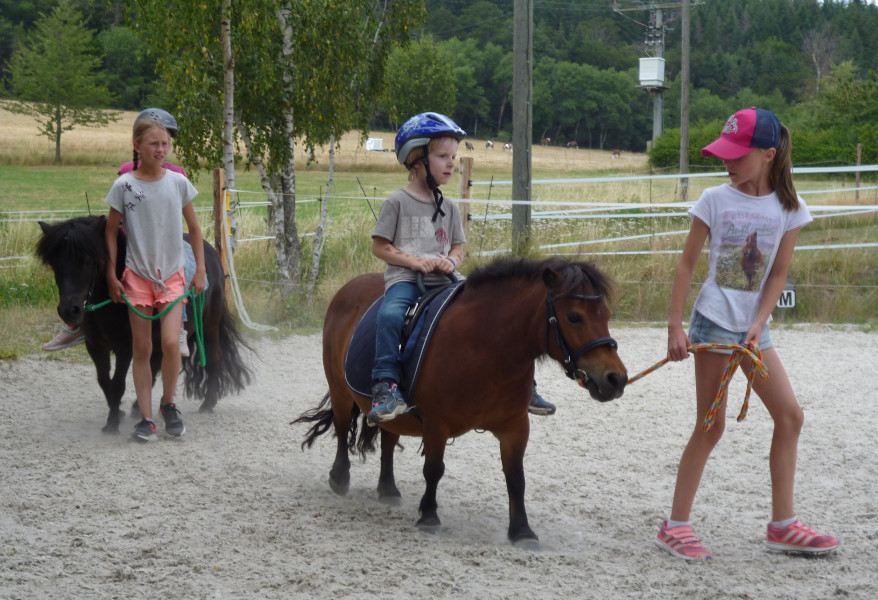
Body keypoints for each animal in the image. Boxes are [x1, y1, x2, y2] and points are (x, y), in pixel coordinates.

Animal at [37, 216, 251, 432]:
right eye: (54, 263)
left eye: (87, 260)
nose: (69, 311)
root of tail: (211, 253)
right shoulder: (95, 345)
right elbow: (104, 381)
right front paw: (117, 413)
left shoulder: (125, 346)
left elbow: (117, 384)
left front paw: (112, 424)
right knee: (156, 365)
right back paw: (137, 408)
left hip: (208, 326)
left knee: (213, 358)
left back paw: (207, 404)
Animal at [300, 255, 628, 548]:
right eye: (575, 316)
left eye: (606, 314)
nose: (616, 378)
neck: (486, 346)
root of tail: (349, 288)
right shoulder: (436, 424)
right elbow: (434, 469)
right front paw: (429, 516)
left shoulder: (515, 427)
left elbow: (516, 478)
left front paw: (521, 531)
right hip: (341, 392)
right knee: (342, 428)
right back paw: (339, 477)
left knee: (389, 441)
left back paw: (388, 489)